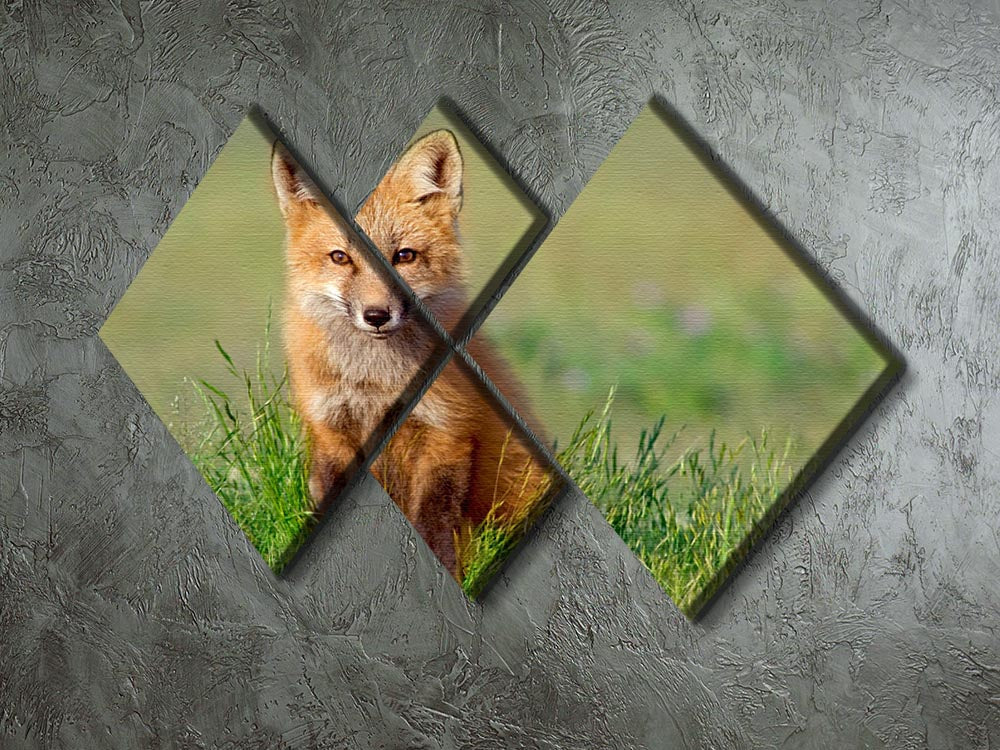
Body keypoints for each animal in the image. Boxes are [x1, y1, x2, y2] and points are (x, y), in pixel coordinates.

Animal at [271, 130, 554, 579]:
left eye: (403, 256)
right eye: (340, 257)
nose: (376, 315)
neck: (376, 383)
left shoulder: (447, 433)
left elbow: (433, 519)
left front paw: (446, 572)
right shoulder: (332, 430)